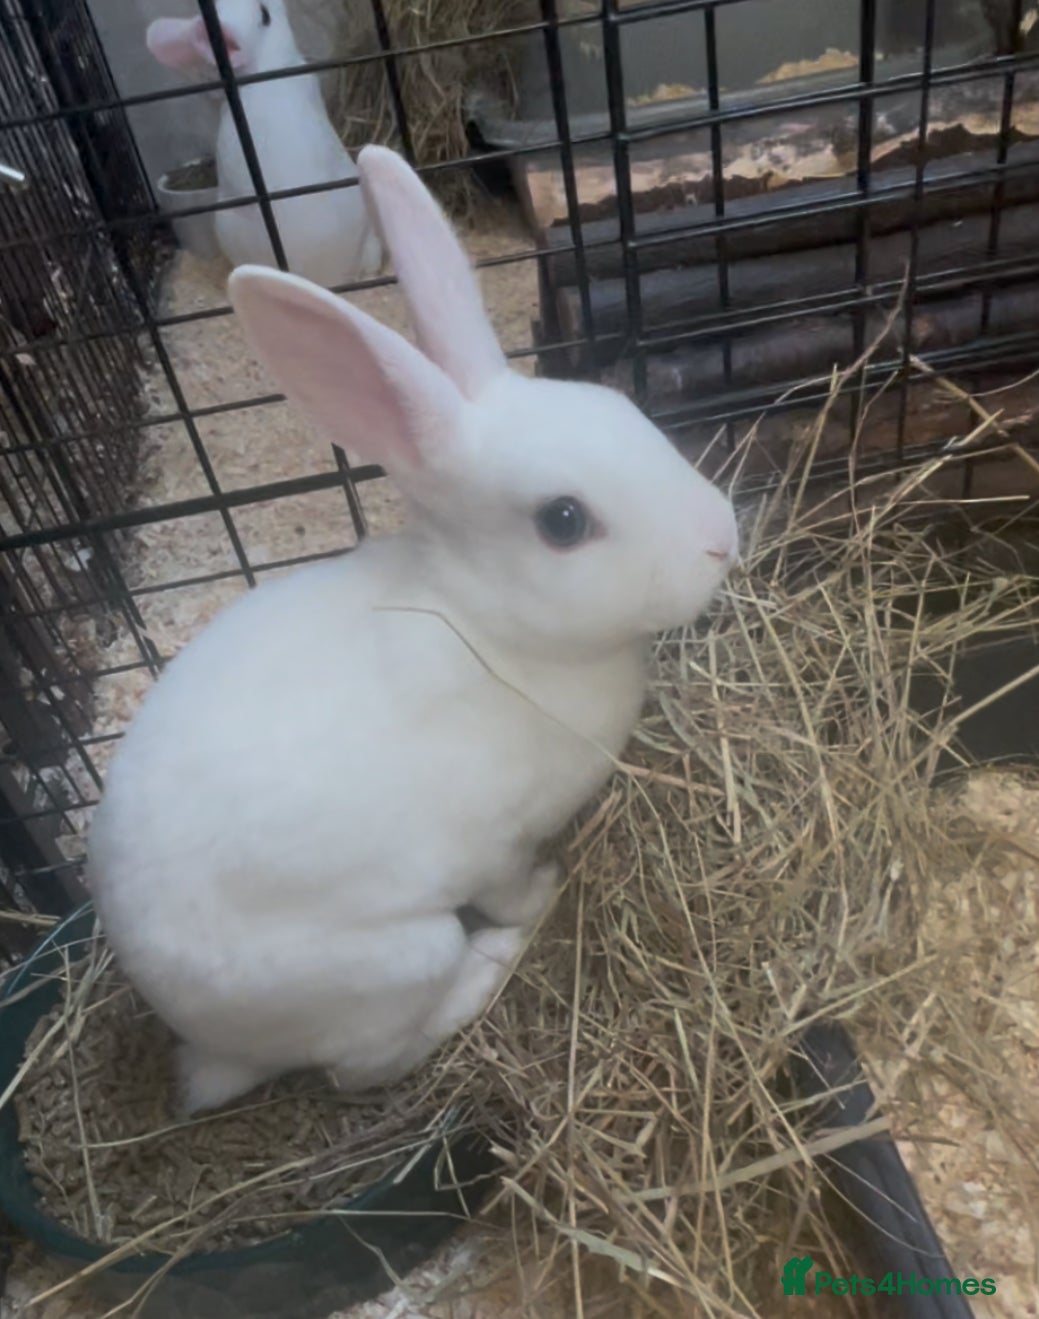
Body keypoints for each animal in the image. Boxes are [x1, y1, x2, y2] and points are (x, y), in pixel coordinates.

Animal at [86, 145, 739, 1118]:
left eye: (620, 410)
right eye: (563, 521)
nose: (720, 536)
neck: (483, 620)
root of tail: (209, 1047)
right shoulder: (496, 842)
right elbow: (511, 885)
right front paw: (543, 896)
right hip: (398, 957)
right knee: (369, 1061)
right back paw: (489, 966)